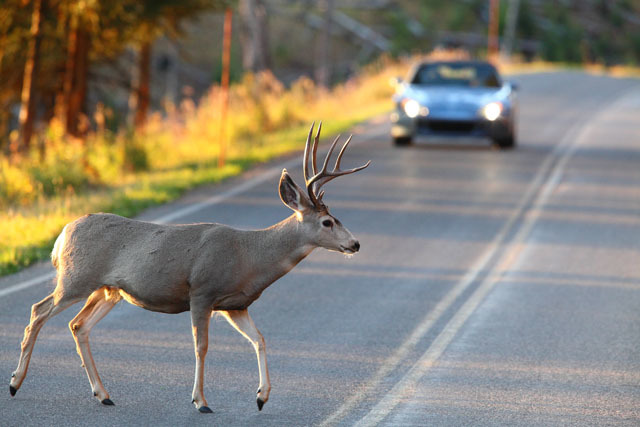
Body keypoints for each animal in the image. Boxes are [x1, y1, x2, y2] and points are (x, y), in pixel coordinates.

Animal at [9, 122, 370, 414]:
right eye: (327, 221)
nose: (355, 244)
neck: (250, 257)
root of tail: (62, 235)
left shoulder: (235, 304)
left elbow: (260, 339)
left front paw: (261, 397)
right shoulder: (202, 291)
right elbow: (201, 347)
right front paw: (201, 401)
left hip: (109, 289)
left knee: (78, 325)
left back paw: (103, 394)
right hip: (76, 277)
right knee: (38, 311)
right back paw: (15, 383)